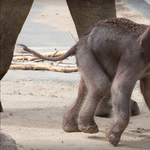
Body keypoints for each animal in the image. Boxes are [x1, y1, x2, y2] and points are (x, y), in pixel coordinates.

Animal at [21, 17, 150, 146]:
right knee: (101, 84)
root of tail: (78, 43)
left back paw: (71, 128)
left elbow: (147, 92)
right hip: (86, 53)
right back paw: (88, 128)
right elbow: (119, 86)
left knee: (85, 89)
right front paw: (112, 139)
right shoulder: (134, 57)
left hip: (87, 56)